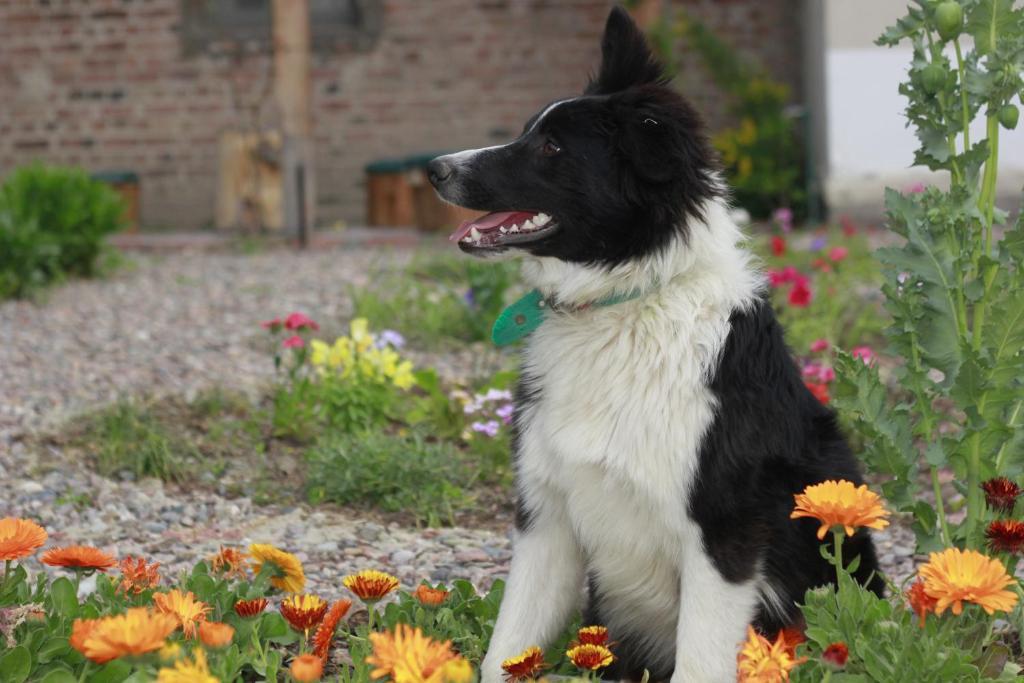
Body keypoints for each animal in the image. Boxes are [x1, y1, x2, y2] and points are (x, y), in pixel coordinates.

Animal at [423, 6, 880, 683]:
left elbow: (700, 659)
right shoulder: (545, 517)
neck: (623, 305)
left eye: (552, 147)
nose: (434, 169)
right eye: (531, 133)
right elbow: (506, 647)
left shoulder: (722, 533)